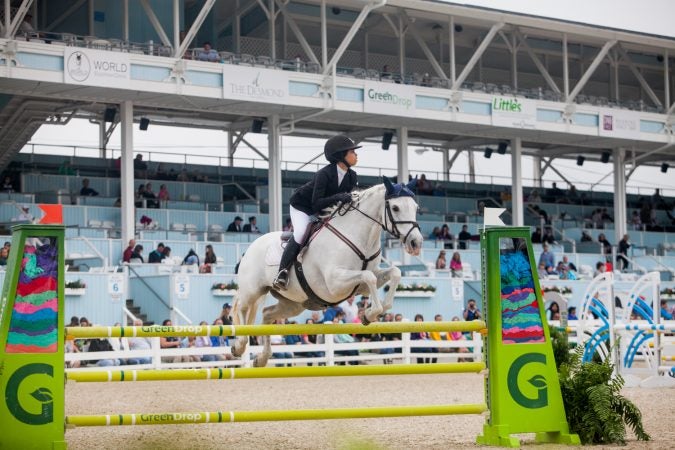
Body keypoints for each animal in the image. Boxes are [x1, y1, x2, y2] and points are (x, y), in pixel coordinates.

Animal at [231, 178, 422, 368]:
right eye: (395, 208)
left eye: (415, 207)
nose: (416, 243)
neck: (359, 237)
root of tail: (253, 246)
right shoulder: (334, 284)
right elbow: (369, 277)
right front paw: (370, 314)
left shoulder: (362, 285)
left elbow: (393, 273)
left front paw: (371, 313)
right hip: (253, 290)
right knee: (241, 307)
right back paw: (239, 346)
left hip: (293, 303)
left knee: (267, 314)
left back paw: (261, 359)